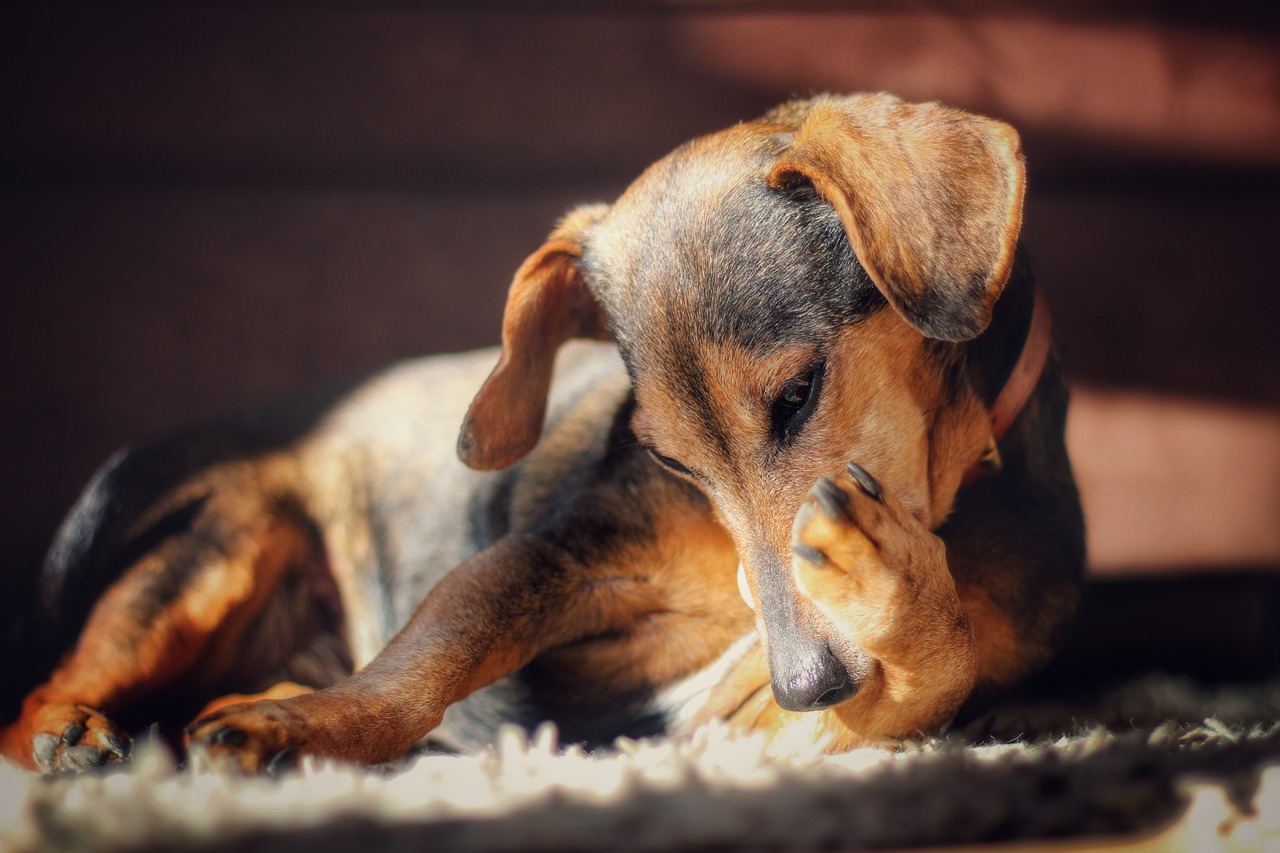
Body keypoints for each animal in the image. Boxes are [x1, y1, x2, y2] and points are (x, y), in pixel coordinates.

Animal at [2, 91, 1080, 768]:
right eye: (666, 458)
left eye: (797, 394)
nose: (806, 677)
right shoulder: (552, 557)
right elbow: (425, 656)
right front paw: (296, 728)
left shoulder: (745, 724)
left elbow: (932, 675)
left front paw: (892, 590)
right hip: (216, 552)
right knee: (40, 693)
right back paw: (73, 735)